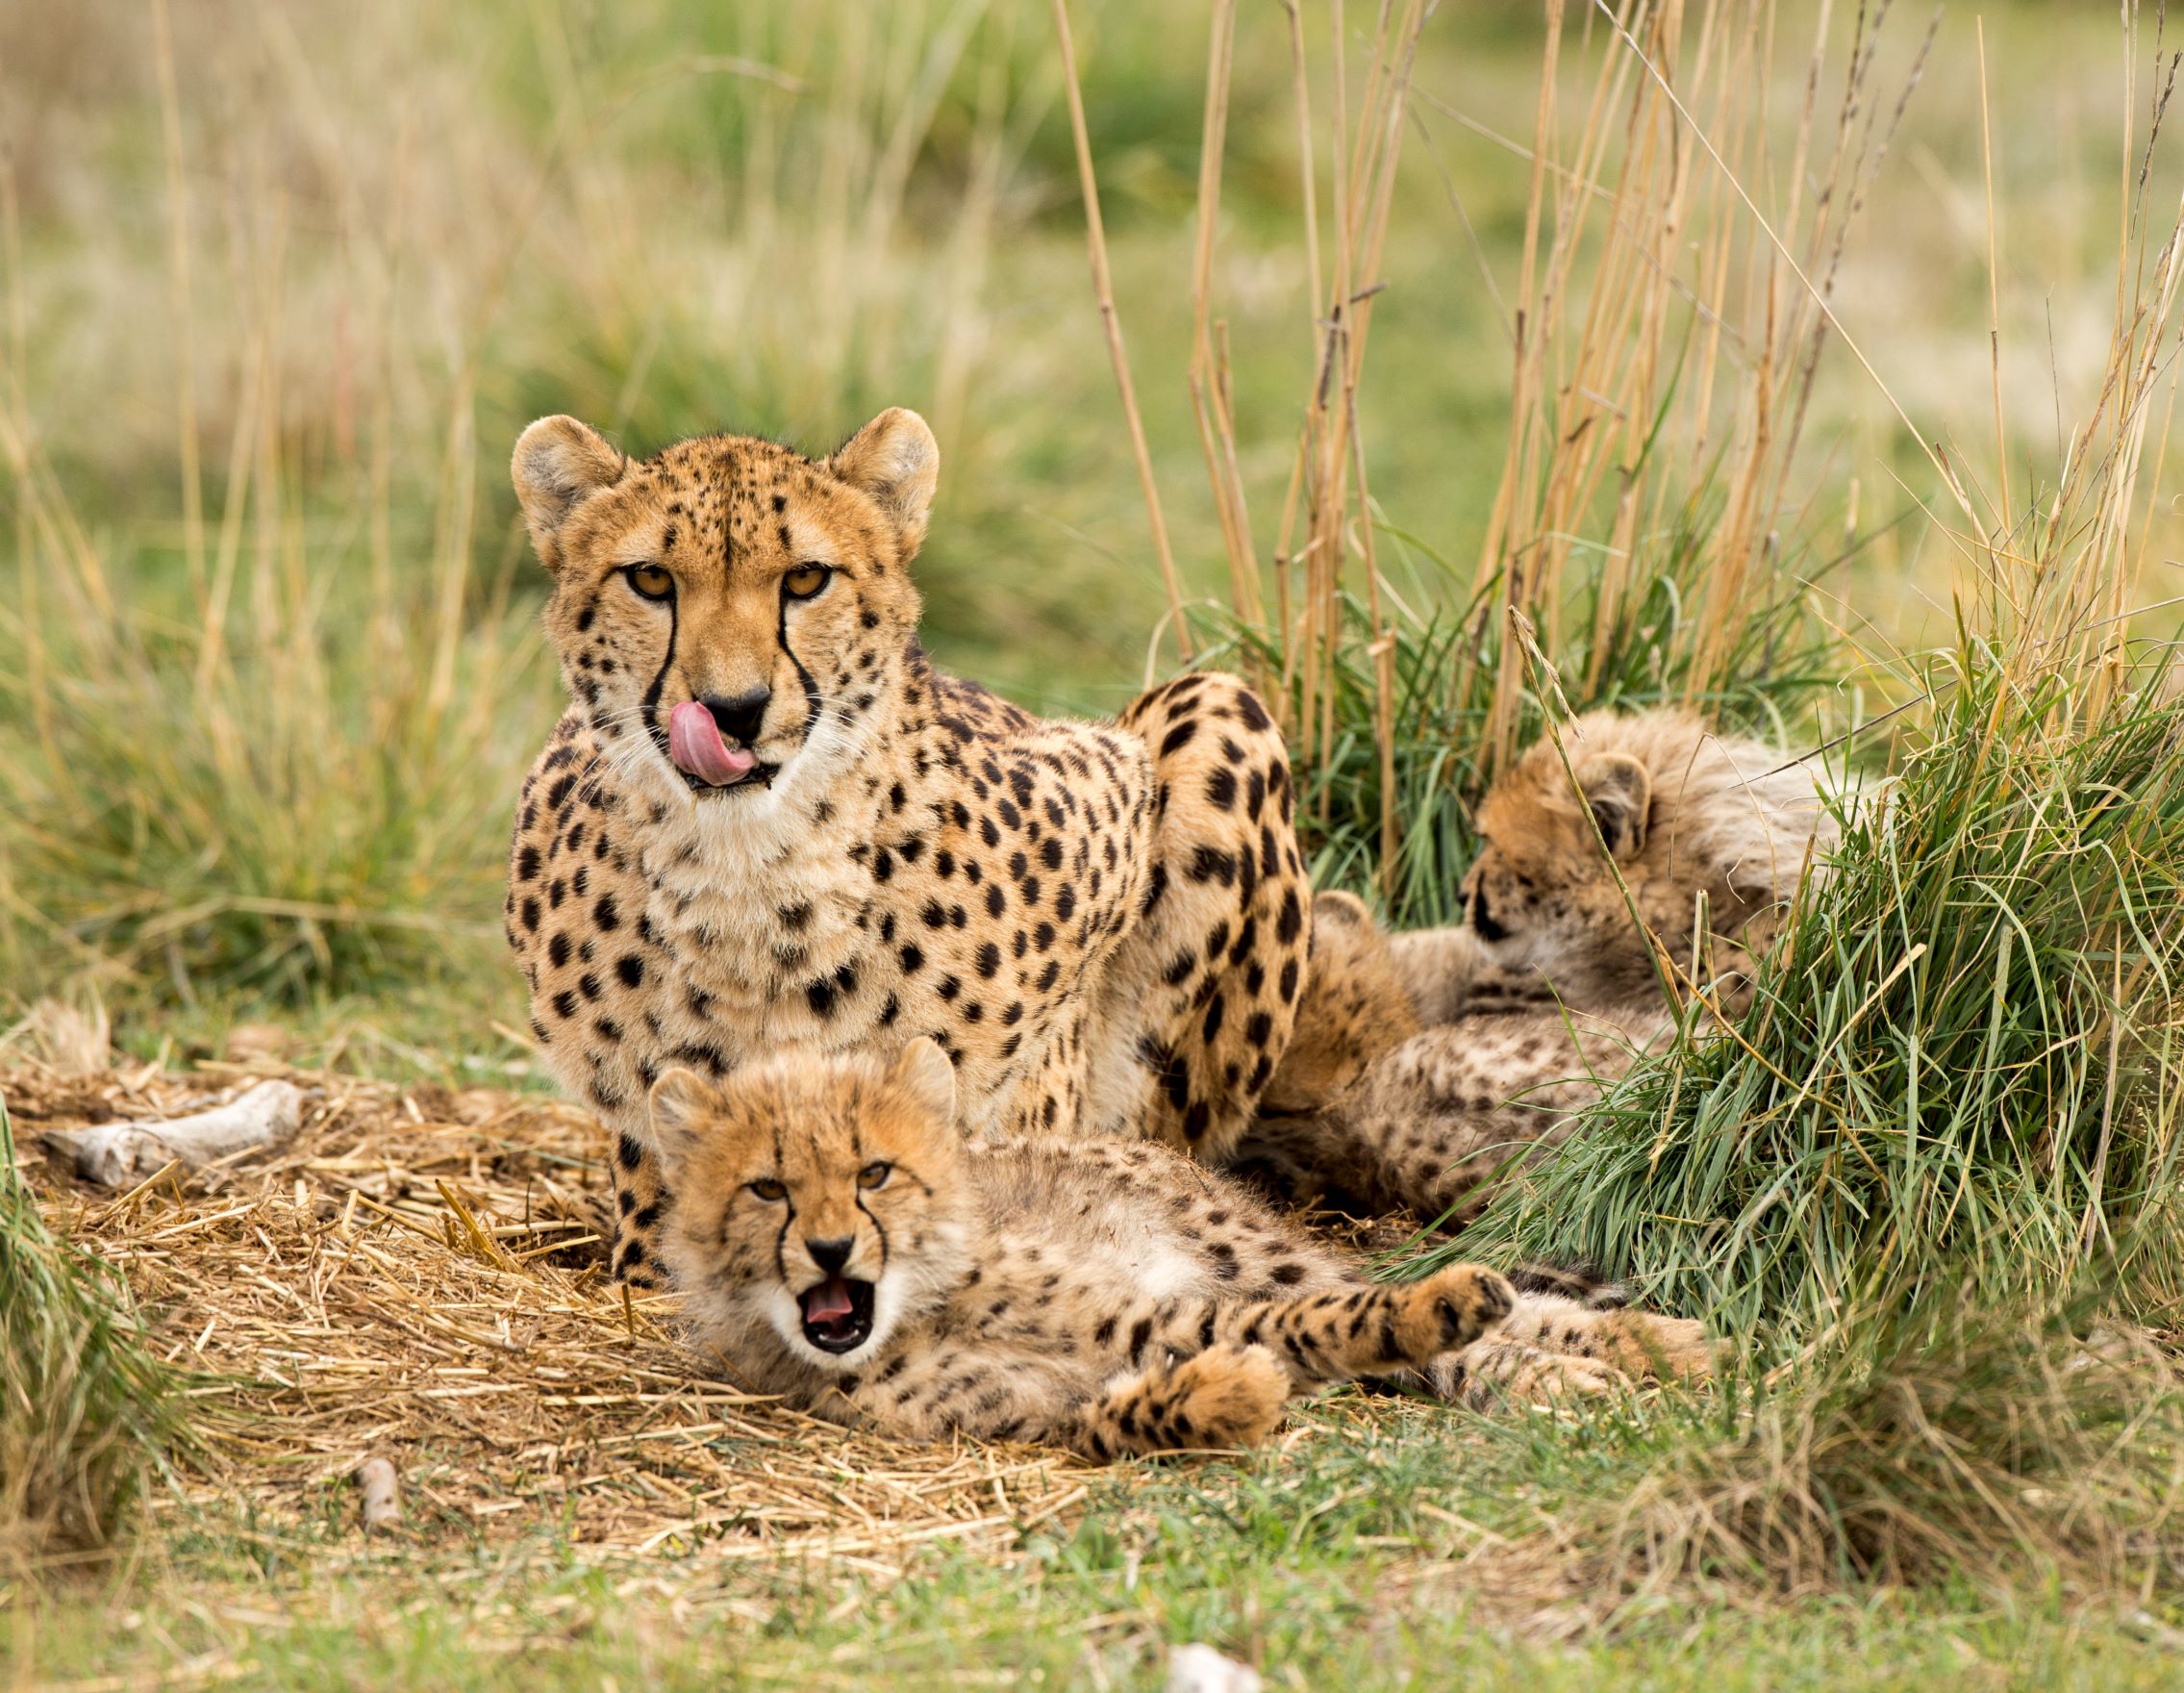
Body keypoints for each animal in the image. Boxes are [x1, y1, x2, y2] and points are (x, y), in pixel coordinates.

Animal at [502, 410, 1301, 1284]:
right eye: (649, 580)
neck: (750, 871)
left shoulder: (1108, 781)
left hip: (1220, 703)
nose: (733, 709)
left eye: (806, 580)